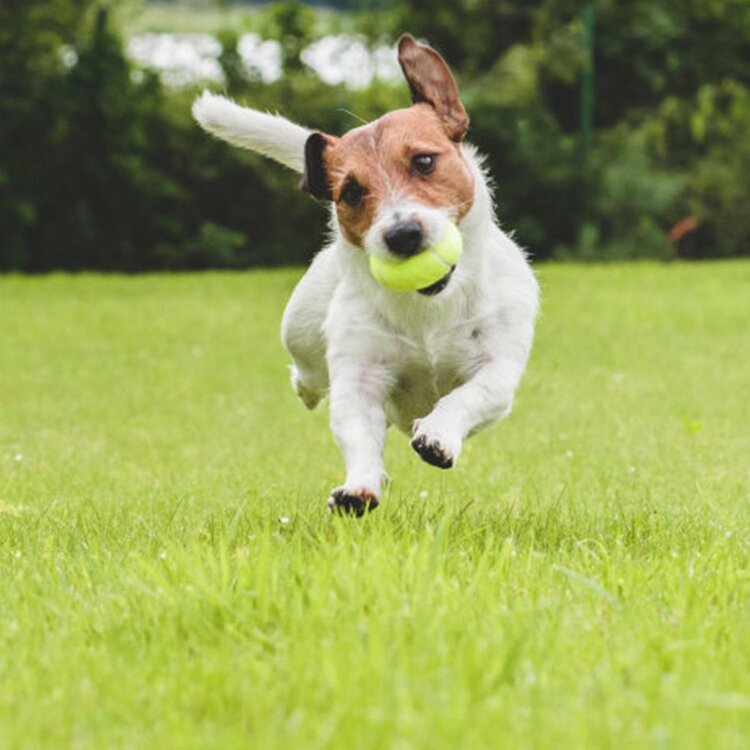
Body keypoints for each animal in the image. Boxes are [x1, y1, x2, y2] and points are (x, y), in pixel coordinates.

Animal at [194, 33, 540, 516]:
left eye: (424, 161)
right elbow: (357, 432)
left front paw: (438, 434)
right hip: (299, 328)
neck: (427, 306)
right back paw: (308, 391)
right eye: (352, 192)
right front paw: (359, 486)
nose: (403, 235)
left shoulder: (497, 367)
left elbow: (468, 396)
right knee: (308, 372)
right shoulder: (359, 378)